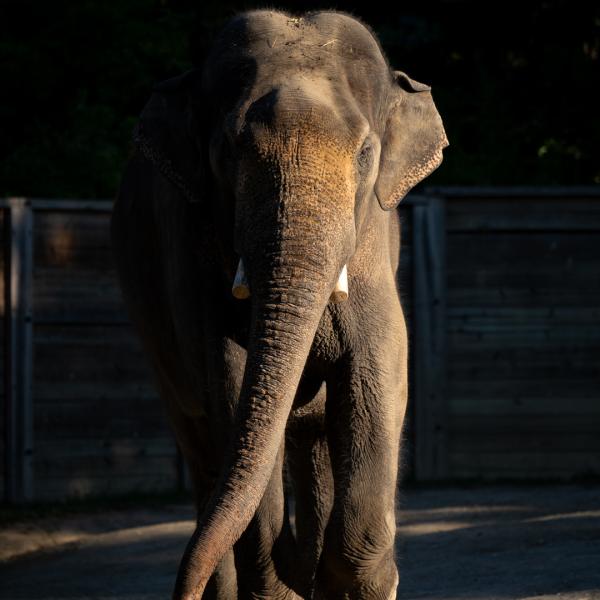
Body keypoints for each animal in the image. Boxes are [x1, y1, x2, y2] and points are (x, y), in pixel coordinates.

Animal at [110, 9, 446, 600]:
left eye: (367, 154)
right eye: (228, 151)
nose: (181, 588)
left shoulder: (374, 250)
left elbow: (378, 371)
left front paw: (354, 580)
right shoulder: (199, 263)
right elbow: (232, 383)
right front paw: (285, 582)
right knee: (205, 454)